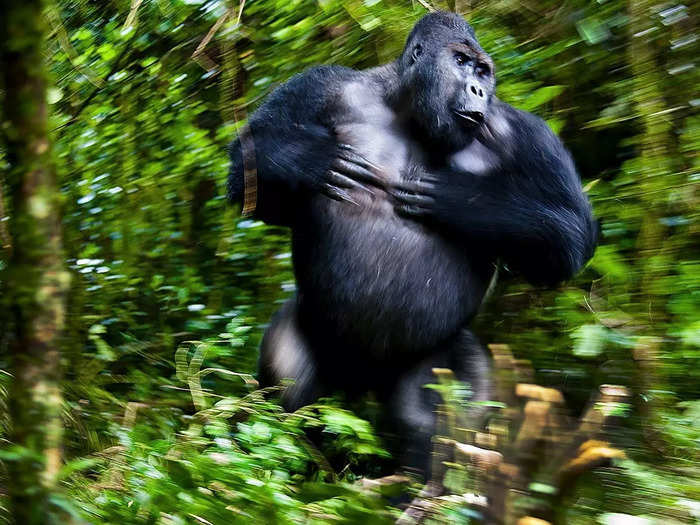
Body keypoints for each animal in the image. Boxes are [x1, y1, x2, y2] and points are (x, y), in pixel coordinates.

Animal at [227, 12, 600, 476]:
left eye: (483, 71)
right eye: (461, 62)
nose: (478, 90)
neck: (406, 110)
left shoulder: (526, 131)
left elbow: (570, 234)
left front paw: (460, 198)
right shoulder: (320, 83)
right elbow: (249, 169)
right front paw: (314, 161)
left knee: (431, 416)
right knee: (290, 390)